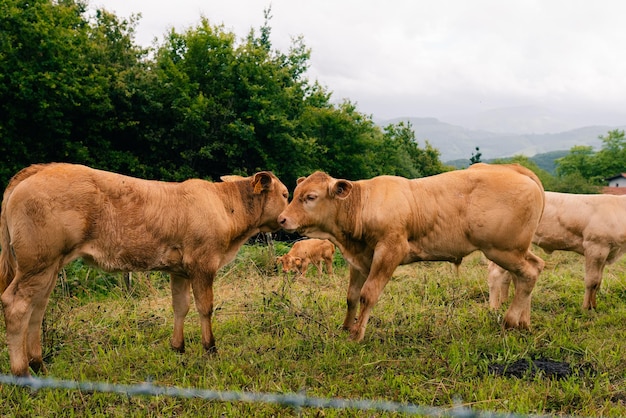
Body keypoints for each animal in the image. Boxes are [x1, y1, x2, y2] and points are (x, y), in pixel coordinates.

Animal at [0, 162, 288, 376]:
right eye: (286, 194)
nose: (286, 218)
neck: (225, 206)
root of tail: (39, 169)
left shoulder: (179, 270)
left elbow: (180, 306)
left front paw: (178, 348)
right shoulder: (203, 264)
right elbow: (204, 307)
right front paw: (210, 349)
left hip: (48, 266)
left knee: (37, 307)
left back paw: (39, 365)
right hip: (38, 263)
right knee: (17, 304)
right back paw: (22, 373)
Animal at [276, 162, 544, 342]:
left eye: (311, 197)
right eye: (295, 194)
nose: (281, 219)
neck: (363, 205)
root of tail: (515, 169)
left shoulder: (390, 250)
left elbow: (368, 295)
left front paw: (356, 334)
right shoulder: (359, 259)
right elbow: (351, 296)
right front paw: (345, 328)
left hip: (504, 249)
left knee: (528, 273)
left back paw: (510, 321)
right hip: (516, 250)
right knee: (533, 269)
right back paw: (524, 322)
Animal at [486, 193, 624, 310]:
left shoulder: (606, 252)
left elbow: (598, 281)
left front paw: (594, 307)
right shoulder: (595, 247)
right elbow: (592, 281)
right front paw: (586, 308)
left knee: (507, 275)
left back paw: (504, 302)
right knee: (495, 272)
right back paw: (494, 308)